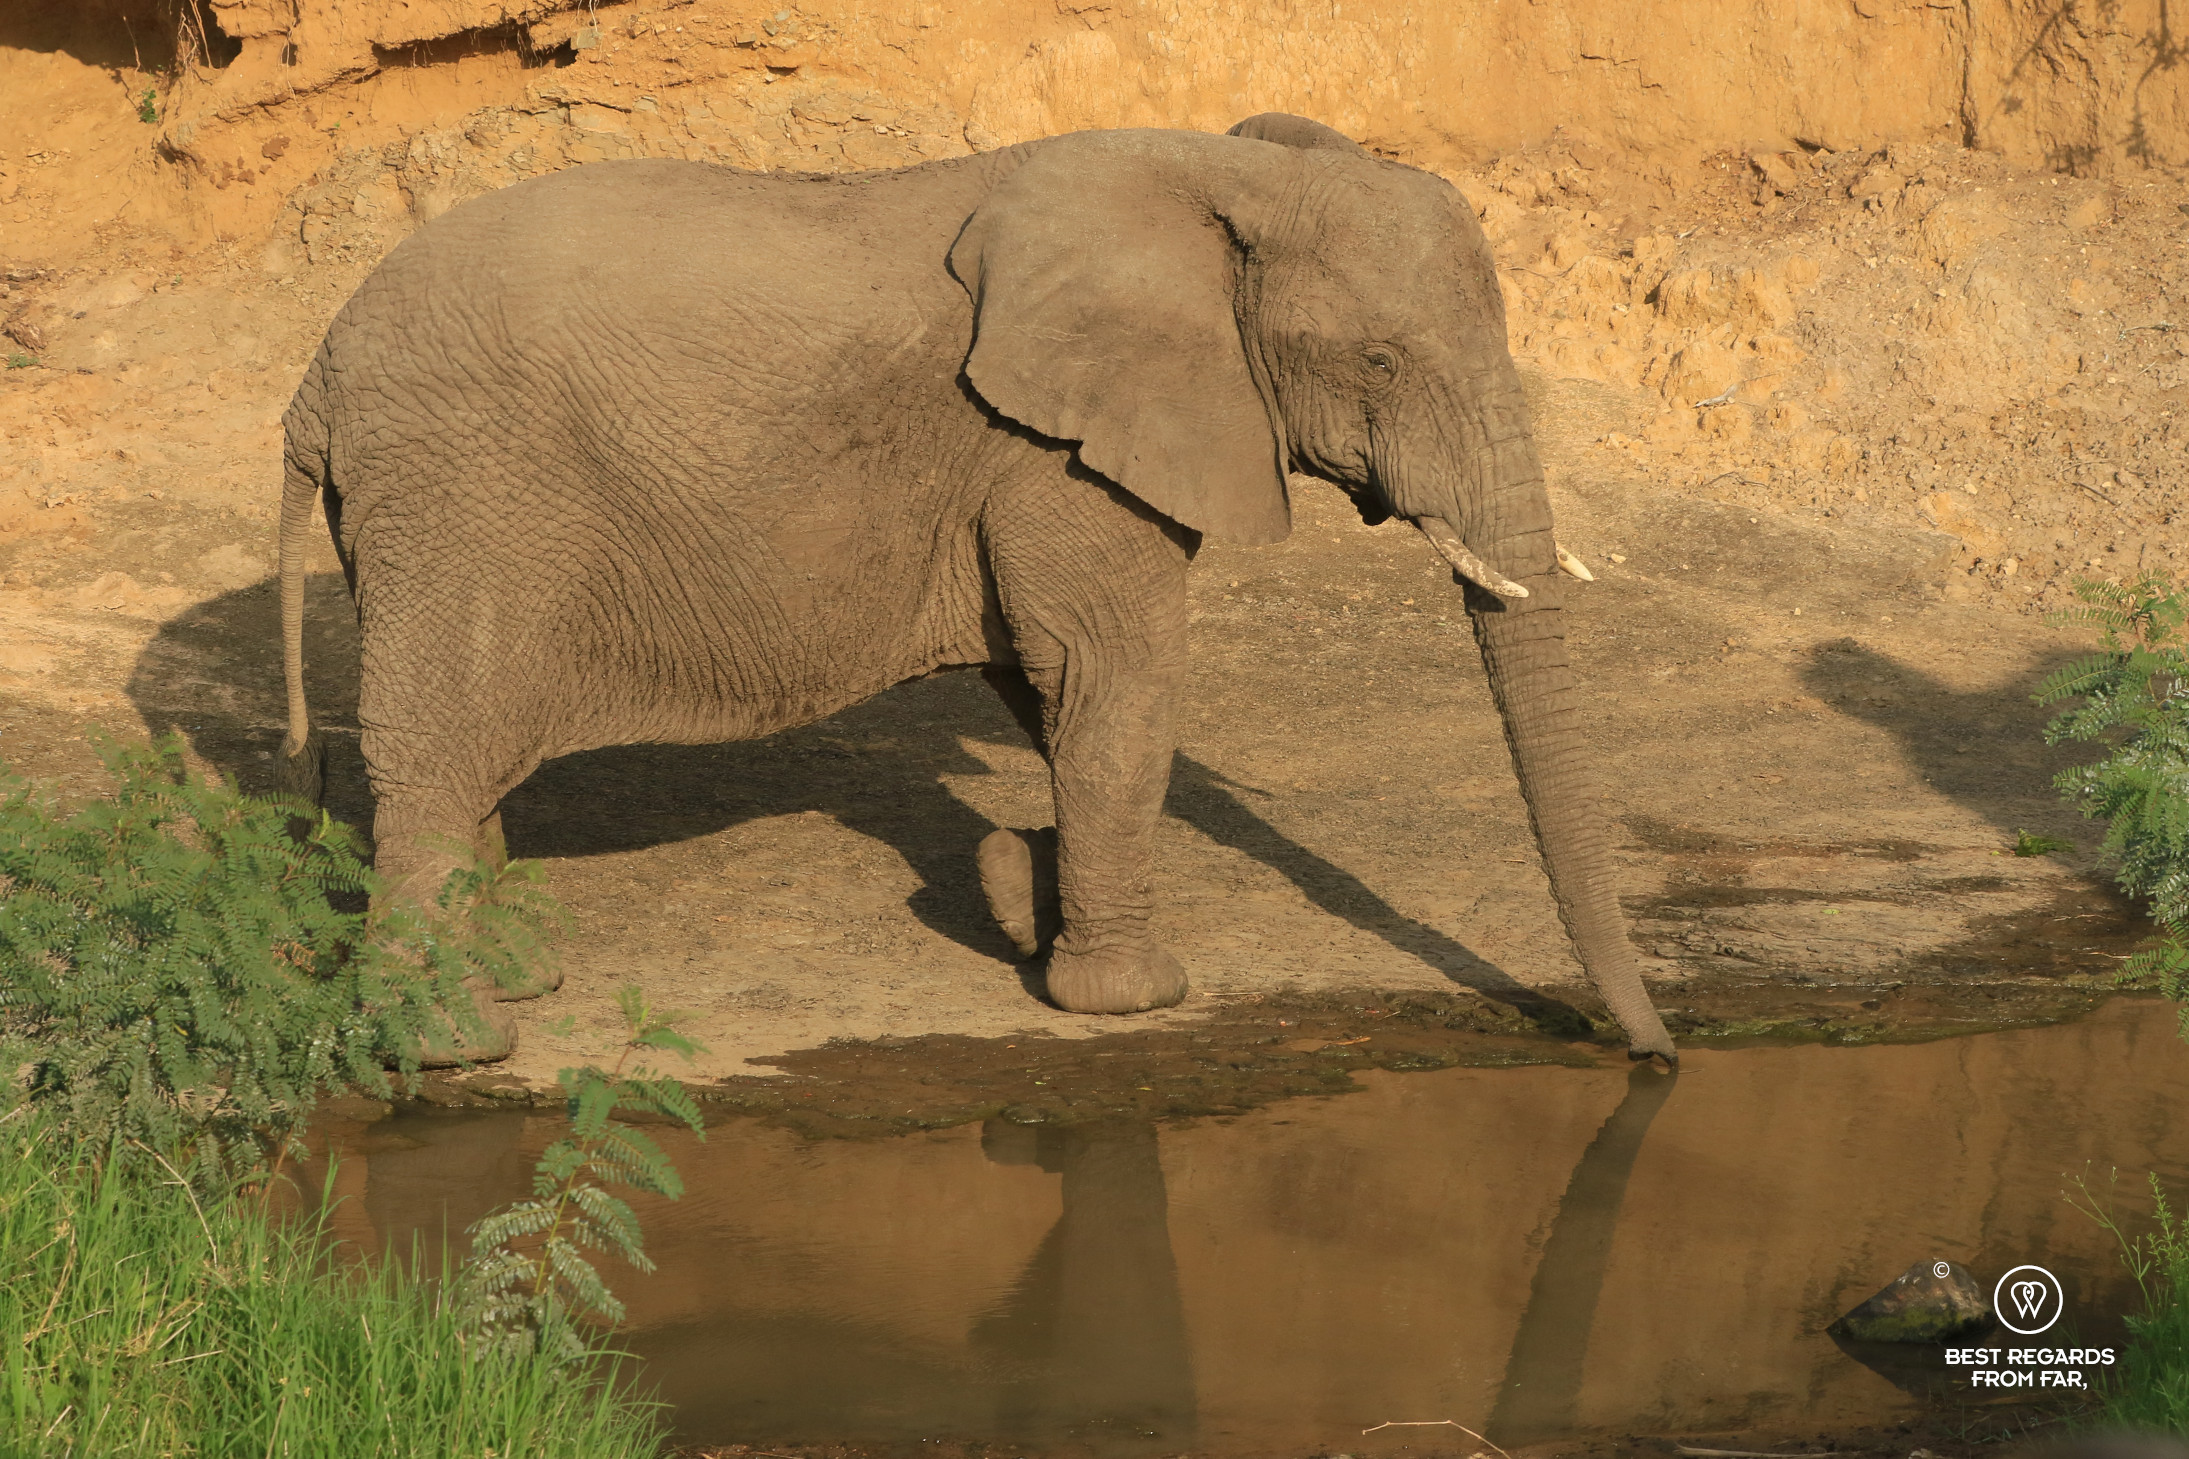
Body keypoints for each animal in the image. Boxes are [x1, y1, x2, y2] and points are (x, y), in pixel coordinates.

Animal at [275, 112, 1677, 1065]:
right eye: (1378, 361)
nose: (1652, 1057)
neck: (1210, 169)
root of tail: (317, 379)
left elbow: (1044, 681)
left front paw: (1015, 890)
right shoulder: (1056, 446)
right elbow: (1110, 672)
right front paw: (1132, 995)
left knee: (460, 748)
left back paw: (517, 982)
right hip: (463, 497)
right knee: (436, 742)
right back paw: (452, 1041)